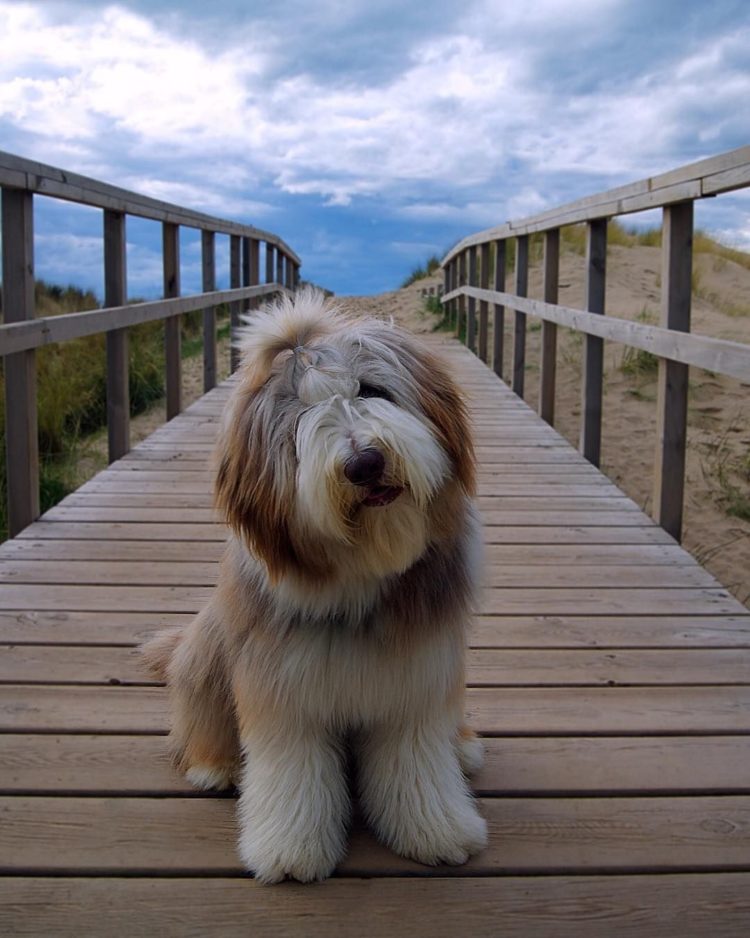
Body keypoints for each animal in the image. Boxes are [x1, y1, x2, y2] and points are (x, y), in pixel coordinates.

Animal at [144, 288, 490, 880]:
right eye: (301, 420)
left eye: (372, 390)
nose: (364, 463)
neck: (362, 569)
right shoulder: (282, 686)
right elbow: (293, 773)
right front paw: (291, 852)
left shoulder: (416, 680)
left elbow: (416, 760)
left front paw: (436, 829)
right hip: (207, 655)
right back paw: (215, 766)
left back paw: (462, 747)